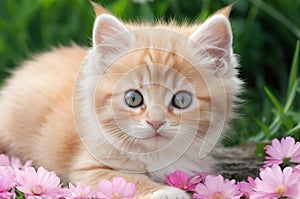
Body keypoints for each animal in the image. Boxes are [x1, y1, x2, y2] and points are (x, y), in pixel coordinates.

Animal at [0, 3, 241, 199]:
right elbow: (128, 179)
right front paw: (166, 192)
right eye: (133, 99)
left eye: (181, 100)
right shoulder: (89, 169)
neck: (155, 155)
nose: (156, 122)